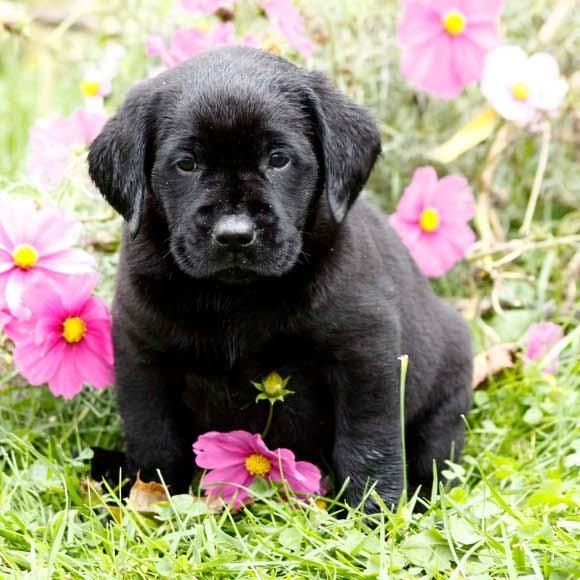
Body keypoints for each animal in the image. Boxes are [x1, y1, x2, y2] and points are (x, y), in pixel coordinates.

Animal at [88, 45, 474, 510]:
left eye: (278, 159)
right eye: (185, 164)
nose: (235, 235)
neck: (235, 298)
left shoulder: (365, 354)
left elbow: (368, 444)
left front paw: (374, 513)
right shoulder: (142, 355)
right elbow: (154, 439)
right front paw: (150, 502)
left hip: (447, 390)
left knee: (435, 453)